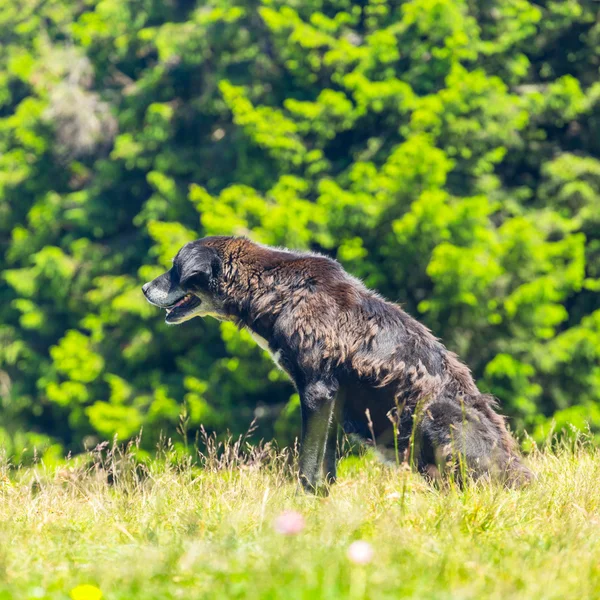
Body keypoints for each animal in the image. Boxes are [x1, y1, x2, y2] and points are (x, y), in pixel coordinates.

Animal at [143, 236, 532, 492]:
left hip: (435, 417)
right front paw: (324, 502)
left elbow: (307, 462)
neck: (280, 290)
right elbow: (325, 463)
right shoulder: (332, 399)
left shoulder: (316, 390)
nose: (145, 288)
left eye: (175, 269)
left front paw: (301, 501)